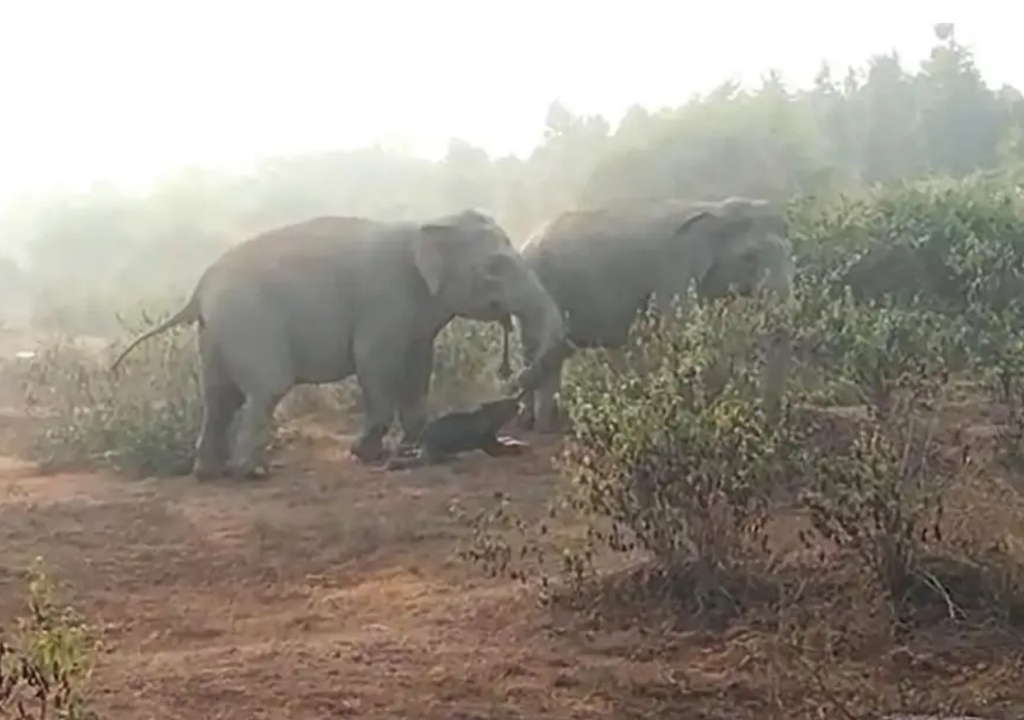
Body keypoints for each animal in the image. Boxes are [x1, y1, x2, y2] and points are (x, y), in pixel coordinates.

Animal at [109, 209, 566, 479]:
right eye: (497, 267)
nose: (512, 377)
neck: (430, 222)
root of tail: (200, 288)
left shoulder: (418, 315)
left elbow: (419, 366)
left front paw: (408, 447)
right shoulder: (385, 298)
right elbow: (375, 362)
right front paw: (365, 454)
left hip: (218, 330)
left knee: (219, 396)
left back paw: (208, 473)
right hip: (248, 322)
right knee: (265, 388)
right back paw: (251, 472)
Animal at [498, 196, 795, 433]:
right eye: (749, 259)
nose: (771, 421)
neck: (716, 209)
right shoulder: (671, 273)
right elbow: (679, 329)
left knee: (547, 354)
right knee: (539, 348)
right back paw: (540, 427)